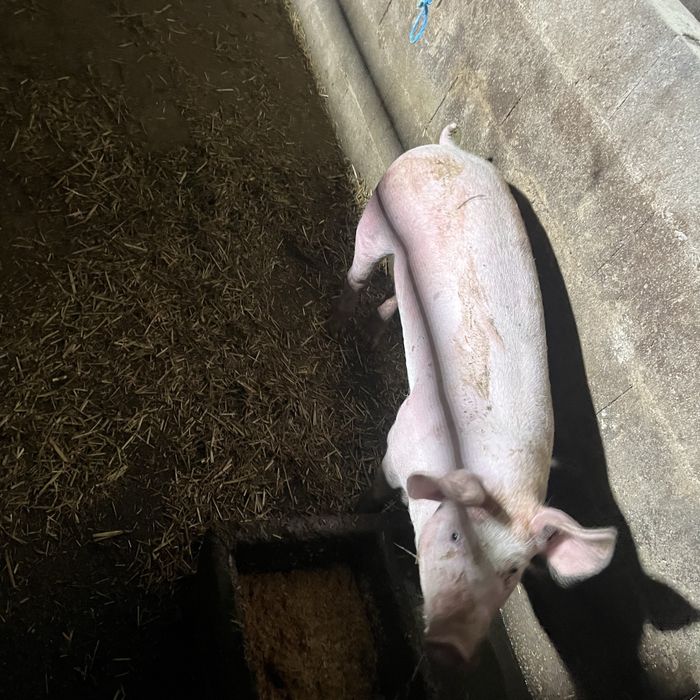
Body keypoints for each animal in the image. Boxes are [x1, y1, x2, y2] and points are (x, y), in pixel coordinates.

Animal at [334, 124, 617, 668]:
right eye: (452, 536)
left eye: (513, 572)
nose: (450, 649)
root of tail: (449, 149)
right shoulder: (400, 436)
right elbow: (379, 486)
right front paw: (359, 508)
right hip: (379, 209)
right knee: (358, 268)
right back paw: (338, 313)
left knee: (396, 291)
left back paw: (375, 333)